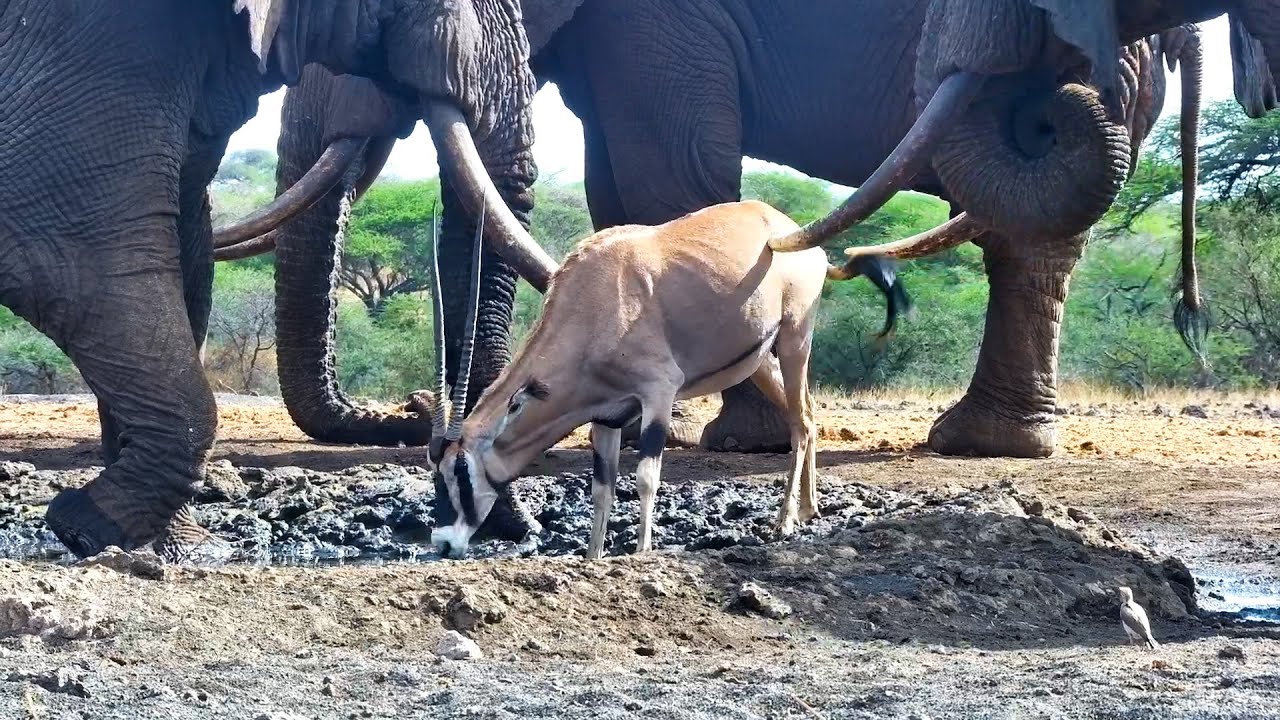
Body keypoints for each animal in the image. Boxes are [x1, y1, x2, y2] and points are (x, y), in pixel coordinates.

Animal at [218, 0, 1261, 460]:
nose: (408, 416)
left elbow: (665, 168)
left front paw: (734, 442)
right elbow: (617, 185)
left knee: (1031, 209)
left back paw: (981, 445)